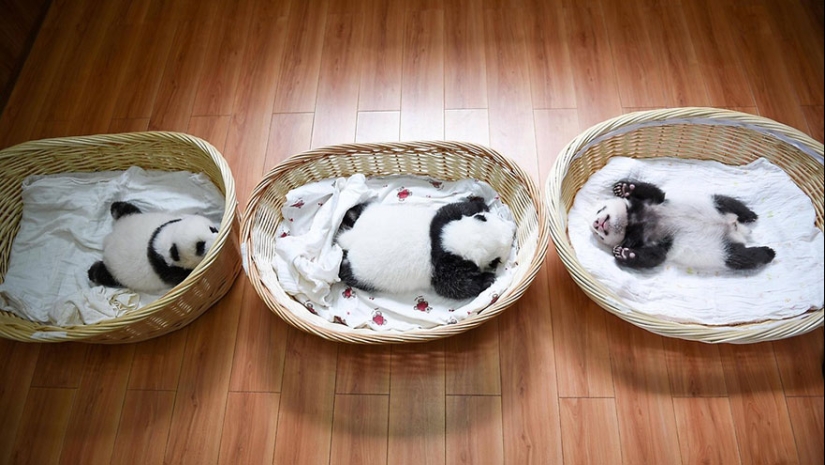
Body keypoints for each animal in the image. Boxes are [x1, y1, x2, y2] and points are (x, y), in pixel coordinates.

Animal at [89, 200, 219, 294]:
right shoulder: (169, 269)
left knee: (126, 210)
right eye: (200, 246)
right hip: (116, 272)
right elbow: (183, 276)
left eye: (212, 229)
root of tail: (108, 240)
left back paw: (115, 207)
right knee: (104, 275)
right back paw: (93, 273)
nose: (216, 239)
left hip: (130, 217)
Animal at [334, 195, 516, 298]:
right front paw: (487, 279)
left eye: (487, 218)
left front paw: (479, 204)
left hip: (367, 212)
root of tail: (351, 238)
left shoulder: (442, 220)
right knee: (347, 272)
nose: (513, 229)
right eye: (497, 260)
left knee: (356, 210)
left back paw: (349, 215)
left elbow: (455, 208)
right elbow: (454, 286)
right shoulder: (444, 267)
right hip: (361, 273)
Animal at [588, 179, 776, 272]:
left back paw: (751, 217)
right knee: (741, 257)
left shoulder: (652, 203)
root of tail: (738, 231)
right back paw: (767, 251)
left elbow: (656, 193)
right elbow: (656, 256)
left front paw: (624, 188)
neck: (632, 222)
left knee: (731, 202)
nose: (597, 223)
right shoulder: (650, 241)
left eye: (600, 209)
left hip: (715, 204)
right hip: (722, 249)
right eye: (598, 235)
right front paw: (625, 253)